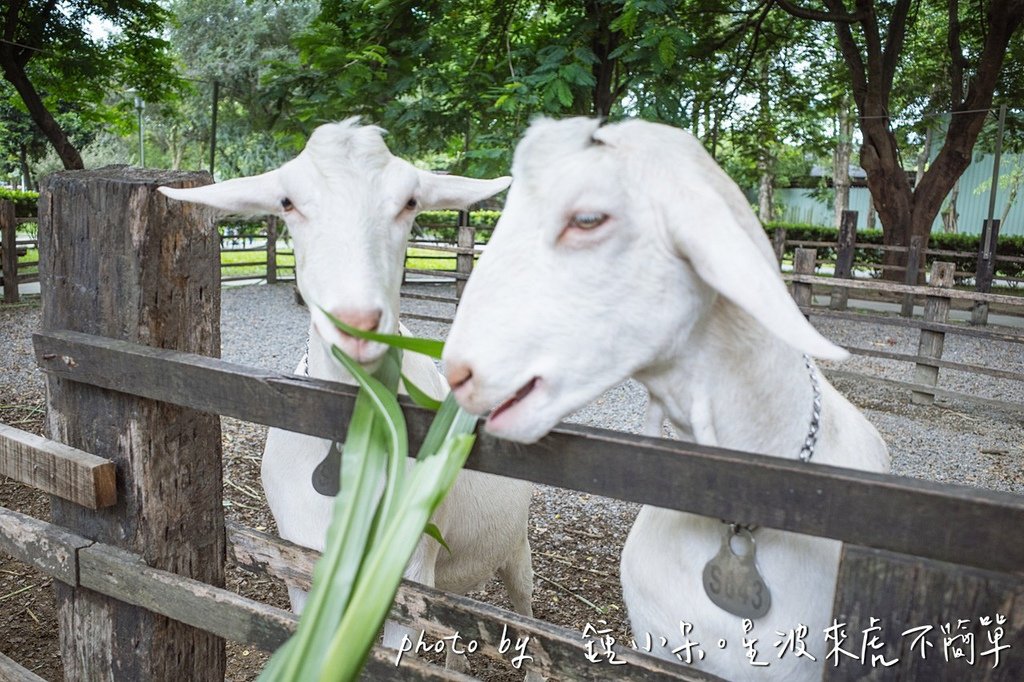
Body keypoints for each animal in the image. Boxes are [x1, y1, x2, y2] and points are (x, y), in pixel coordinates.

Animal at [157, 118, 536, 675]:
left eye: (410, 202)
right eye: (287, 202)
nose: (357, 321)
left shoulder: (409, 568)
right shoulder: (300, 562)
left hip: (515, 545)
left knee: (524, 607)